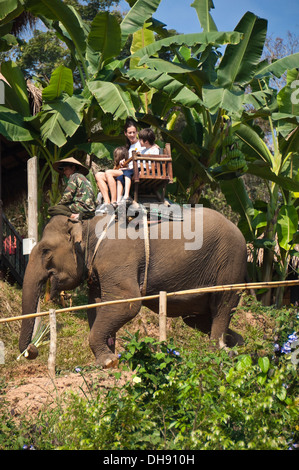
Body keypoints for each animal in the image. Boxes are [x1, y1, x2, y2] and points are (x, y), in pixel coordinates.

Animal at [19, 207, 248, 370]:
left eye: (46, 250)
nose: (32, 349)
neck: (88, 226)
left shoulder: (117, 258)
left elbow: (126, 303)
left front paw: (108, 362)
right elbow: (97, 306)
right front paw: (107, 359)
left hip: (231, 264)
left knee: (222, 307)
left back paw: (218, 354)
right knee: (199, 318)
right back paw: (237, 346)